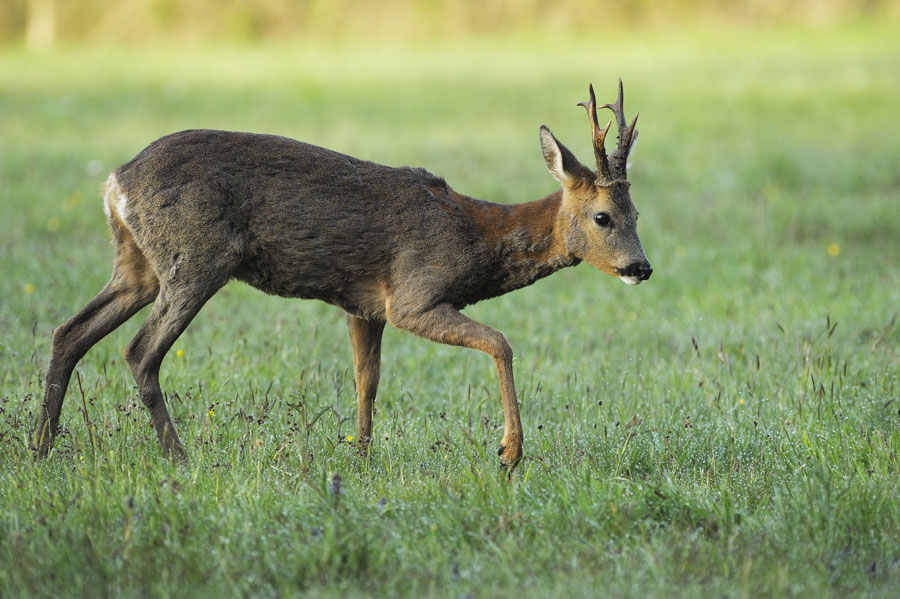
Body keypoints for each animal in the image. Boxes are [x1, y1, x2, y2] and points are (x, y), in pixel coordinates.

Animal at [35, 81, 652, 474]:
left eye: (638, 213)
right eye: (603, 216)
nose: (641, 267)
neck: (473, 236)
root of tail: (114, 182)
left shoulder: (364, 305)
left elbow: (366, 380)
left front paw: (358, 456)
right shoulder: (412, 295)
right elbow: (501, 342)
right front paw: (509, 453)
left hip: (137, 264)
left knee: (70, 332)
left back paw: (41, 448)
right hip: (197, 258)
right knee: (140, 350)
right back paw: (179, 458)